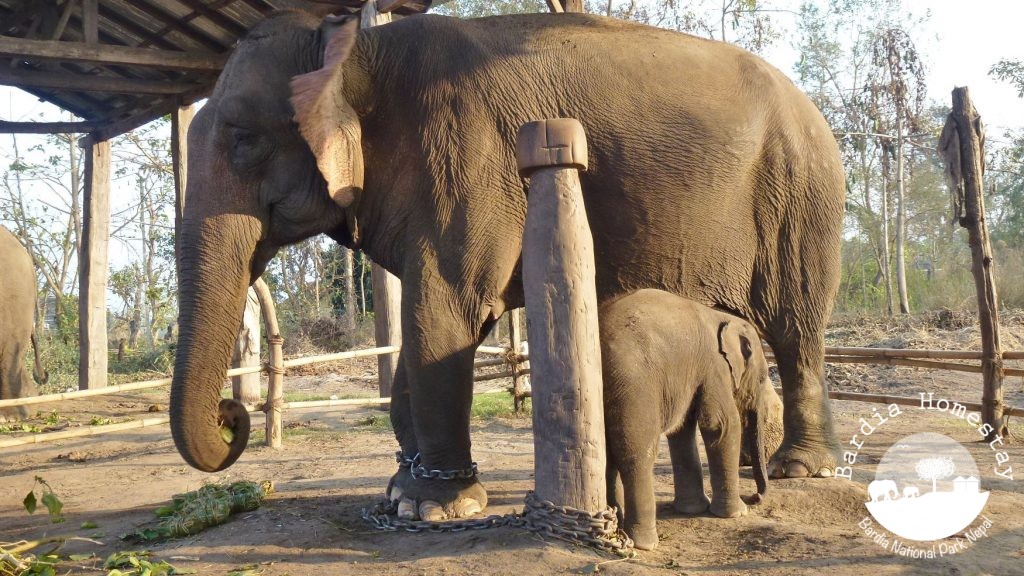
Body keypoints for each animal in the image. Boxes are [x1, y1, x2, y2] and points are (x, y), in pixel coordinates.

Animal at [169, 11, 846, 522]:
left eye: (243, 138)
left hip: (801, 196)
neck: (357, 48)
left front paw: (436, 506)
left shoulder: (464, 156)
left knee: (796, 329)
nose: (231, 417)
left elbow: (442, 310)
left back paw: (799, 467)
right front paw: (402, 492)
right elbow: (425, 320)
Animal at [600, 290, 779, 550]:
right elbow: (722, 425)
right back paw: (645, 543)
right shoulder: (714, 366)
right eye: (764, 378)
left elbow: (682, 431)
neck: (721, 317)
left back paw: (618, 526)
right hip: (635, 389)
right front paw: (737, 513)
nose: (755, 497)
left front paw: (692, 509)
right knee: (638, 454)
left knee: (605, 456)